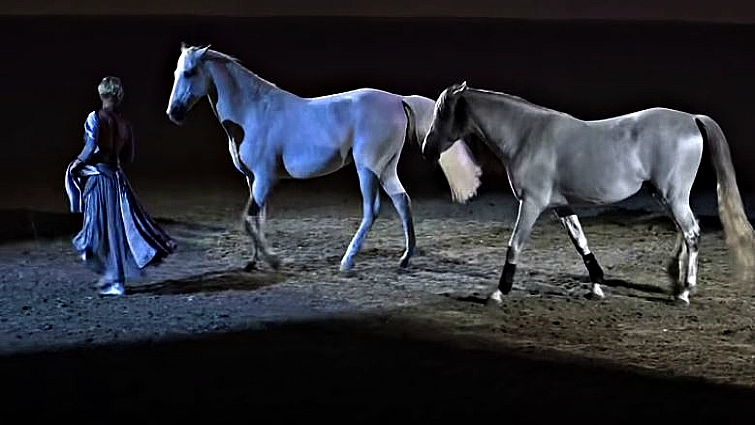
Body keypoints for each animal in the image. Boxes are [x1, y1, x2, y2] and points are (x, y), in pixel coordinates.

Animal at [165, 43, 482, 272]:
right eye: (176, 73)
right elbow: (257, 218)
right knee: (402, 201)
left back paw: (347, 262)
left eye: (190, 73)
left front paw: (274, 261)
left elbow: (248, 219)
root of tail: (397, 99)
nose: (174, 113)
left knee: (372, 210)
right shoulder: (252, 179)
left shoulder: (265, 178)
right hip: (386, 168)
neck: (252, 112)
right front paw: (254, 262)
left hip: (367, 169)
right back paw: (404, 259)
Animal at [421, 81, 755, 305]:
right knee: (684, 232)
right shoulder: (562, 207)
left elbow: (514, 245)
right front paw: (597, 285)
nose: (426, 150)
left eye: (443, 114)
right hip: (667, 196)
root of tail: (691, 119)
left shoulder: (531, 204)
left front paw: (498, 292)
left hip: (673, 195)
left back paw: (685, 291)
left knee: (692, 233)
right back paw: (676, 281)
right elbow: (580, 242)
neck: (526, 135)